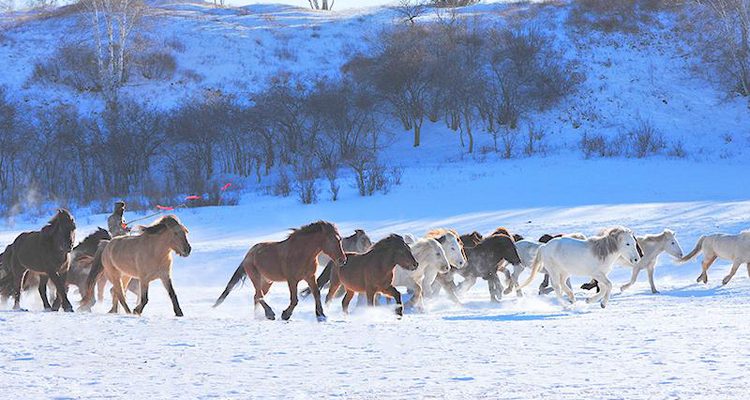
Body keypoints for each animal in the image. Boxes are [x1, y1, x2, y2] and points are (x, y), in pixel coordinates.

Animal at [214, 220, 346, 320]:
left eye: (340, 240)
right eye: (332, 240)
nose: (342, 260)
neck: (302, 253)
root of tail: (248, 254)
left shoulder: (310, 277)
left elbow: (316, 294)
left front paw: (321, 315)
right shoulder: (292, 280)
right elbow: (294, 299)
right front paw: (285, 315)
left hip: (267, 282)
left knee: (257, 296)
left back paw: (258, 316)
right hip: (256, 277)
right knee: (259, 295)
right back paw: (270, 314)